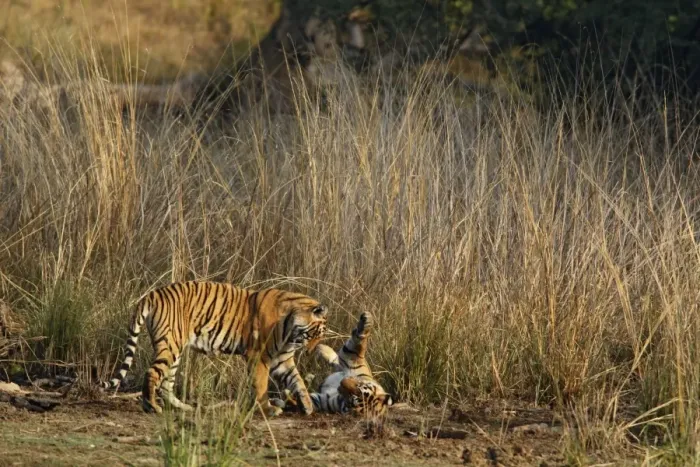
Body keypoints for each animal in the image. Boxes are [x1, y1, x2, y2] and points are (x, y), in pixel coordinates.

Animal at [101, 281, 328, 416]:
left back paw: (183, 407)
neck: (290, 329)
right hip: (170, 345)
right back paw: (152, 407)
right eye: (313, 335)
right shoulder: (259, 356)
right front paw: (267, 408)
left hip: (175, 349)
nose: (311, 352)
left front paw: (308, 405)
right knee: (152, 373)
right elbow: (262, 385)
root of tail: (152, 294)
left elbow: (297, 380)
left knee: (166, 383)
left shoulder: (282, 359)